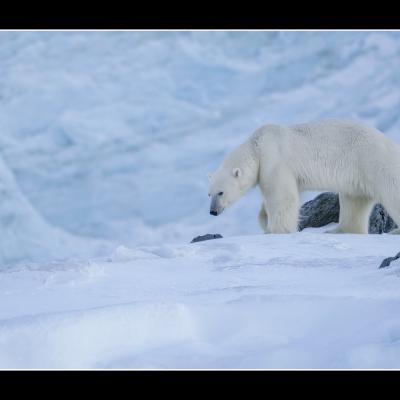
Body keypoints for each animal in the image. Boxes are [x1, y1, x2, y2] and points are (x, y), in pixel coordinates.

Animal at [208, 120, 400, 236]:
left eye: (221, 192)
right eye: (209, 194)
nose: (213, 211)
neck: (257, 146)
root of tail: (389, 141)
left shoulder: (274, 161)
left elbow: (282, 197)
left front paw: (276, 230)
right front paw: (265, 220)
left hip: (372, 160)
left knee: (391, 190)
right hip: (357, 174)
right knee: (354, 201)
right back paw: (339, 230)